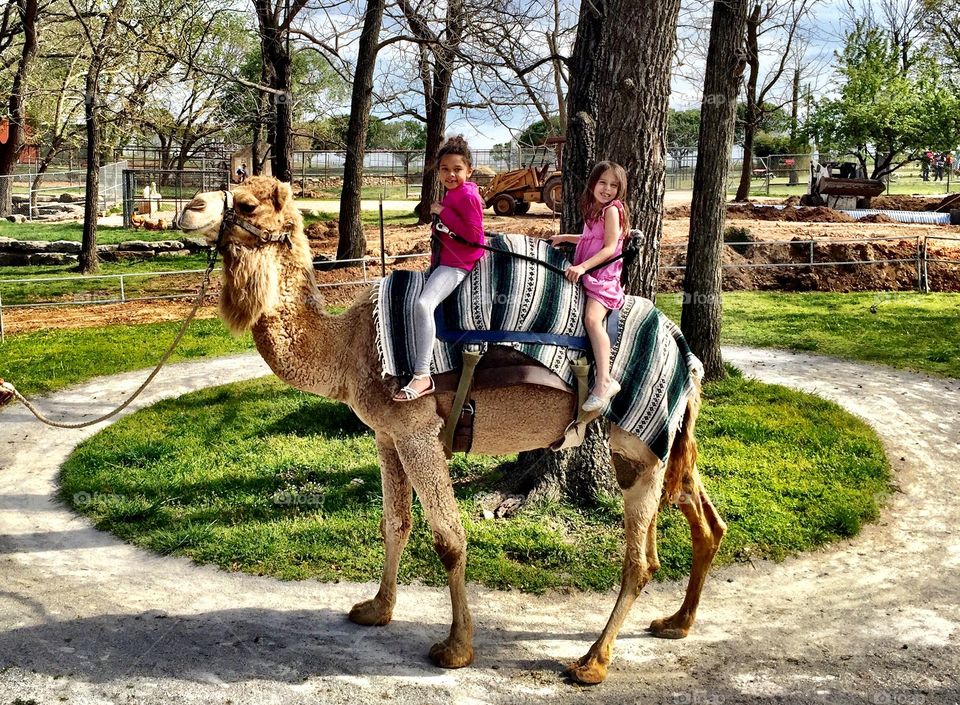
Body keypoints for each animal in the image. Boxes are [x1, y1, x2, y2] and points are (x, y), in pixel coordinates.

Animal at [175, 176, 726, 685]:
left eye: (247, 204)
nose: (189, 207)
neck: (348, 347)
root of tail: (685, 353)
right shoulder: (387, 435)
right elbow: (394, 524)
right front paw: (375, 610)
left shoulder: (417, 429)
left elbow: (449, 539)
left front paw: (456, 648)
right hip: (661, 439)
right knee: (703, 521)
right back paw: (676, 623)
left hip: (637, 442)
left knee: (641, 560)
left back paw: (592, 662)